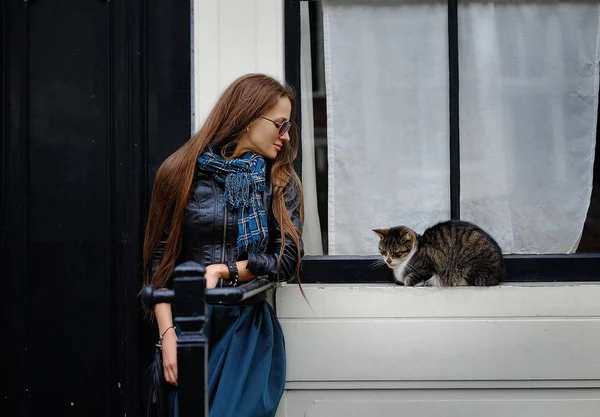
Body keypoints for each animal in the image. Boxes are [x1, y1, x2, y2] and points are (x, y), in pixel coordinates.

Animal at [372, 218, 504, 286]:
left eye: (396, 252)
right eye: (383, 251)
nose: (388, 260)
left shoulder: (428, 266)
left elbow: (408, 280)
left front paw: (421, 283)